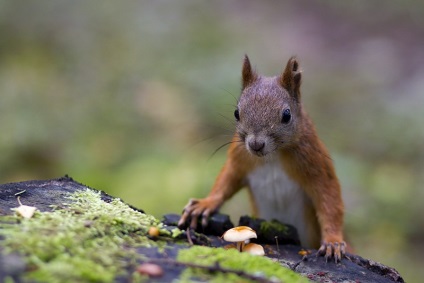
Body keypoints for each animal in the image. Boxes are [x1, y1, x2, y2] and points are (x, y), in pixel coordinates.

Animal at [177, 56, 346, 262]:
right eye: (236, 113)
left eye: (287, 115)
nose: (256, 145)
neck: (271, 156)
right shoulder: (239, 159)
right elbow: (226, 182)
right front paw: (204, 204)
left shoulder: (314, 162)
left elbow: (329, 198)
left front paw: (333, 241)